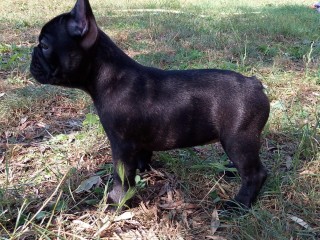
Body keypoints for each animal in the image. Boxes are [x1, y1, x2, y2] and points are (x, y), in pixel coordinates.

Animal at [30, 0, 270, 208]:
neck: (109, 76)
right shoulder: (136, 142)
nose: (31, 55)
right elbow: (140, 159)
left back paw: (239, 204)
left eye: (44, 45)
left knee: (254, 174)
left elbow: (121, 175)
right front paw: (142, 171)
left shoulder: (120, 144)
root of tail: (254, 83)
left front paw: (117, 201)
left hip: (238, 139)